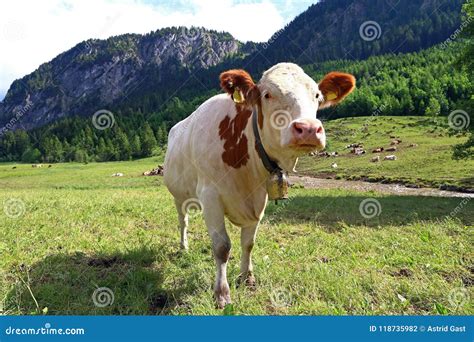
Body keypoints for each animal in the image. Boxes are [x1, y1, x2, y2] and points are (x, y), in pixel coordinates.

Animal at [165, 62, 354, 308]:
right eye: (267, 94)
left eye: (317, 96)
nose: (309, 129)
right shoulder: (210, 196)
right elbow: (222, 247)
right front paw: (222, 294)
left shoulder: (258, 200)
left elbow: (248, 243)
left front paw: (247, 278)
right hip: (179, 196)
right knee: (183, 221)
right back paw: (183, 246)